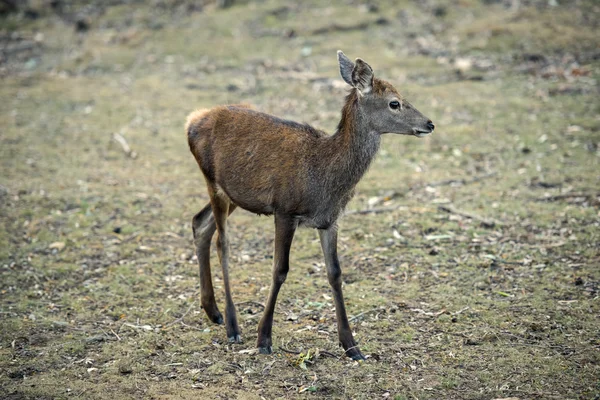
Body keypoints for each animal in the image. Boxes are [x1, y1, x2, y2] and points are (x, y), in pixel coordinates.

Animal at [185, 50, 434, 360]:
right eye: (394, 102)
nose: (429, 123)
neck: (325, 178)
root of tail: (191, 121)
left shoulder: (330, 220)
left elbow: (335, 273)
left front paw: (352, 345)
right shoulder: (284, 210)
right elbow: (279, 270)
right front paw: (264, 338)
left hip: (234, 194)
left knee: (200, 223)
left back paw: (213, 311)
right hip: (214, 183)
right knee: (223, 243)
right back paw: (232, 326)